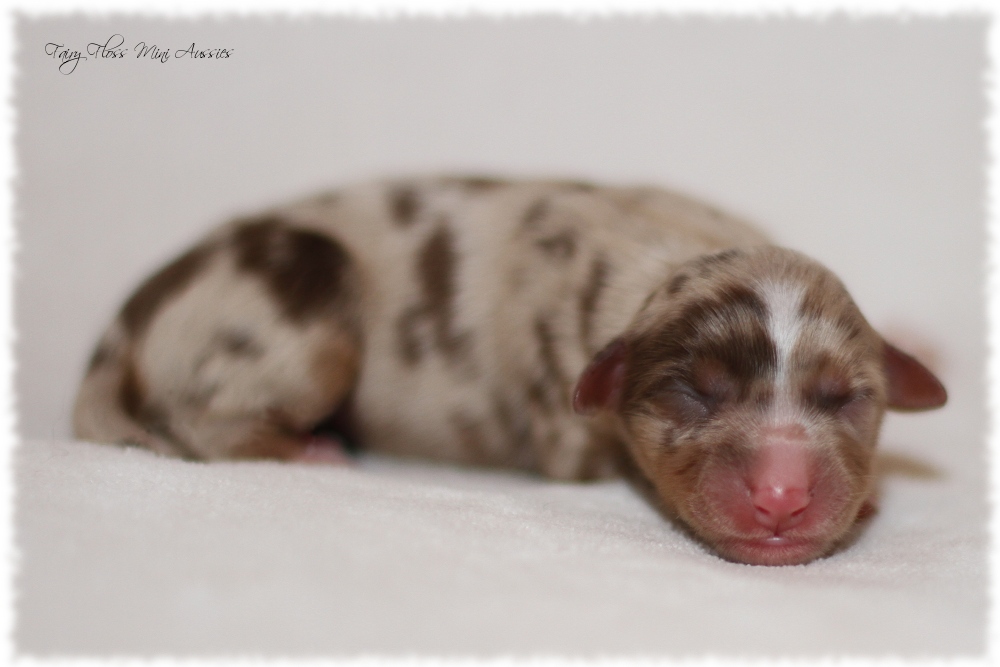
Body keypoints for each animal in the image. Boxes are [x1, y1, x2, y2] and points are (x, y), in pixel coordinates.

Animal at [72, 176, 944, 564]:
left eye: (846, 397)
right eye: (693, 391)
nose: (782, 493)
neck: (664, 250)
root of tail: (114, 341)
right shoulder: (567, 429)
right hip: (298, 314)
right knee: (203, 423)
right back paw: (316, 449)